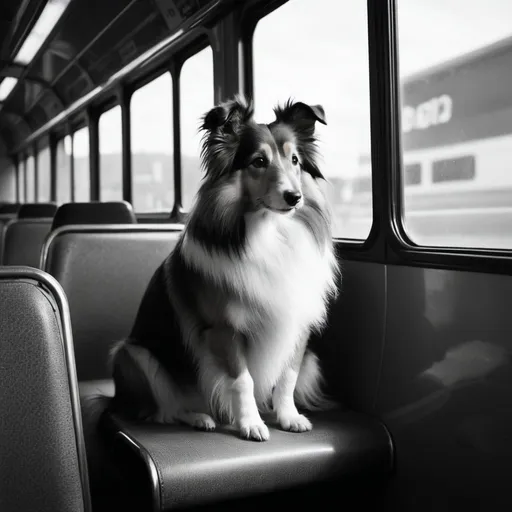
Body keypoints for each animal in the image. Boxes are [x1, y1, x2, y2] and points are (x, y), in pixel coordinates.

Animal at [109, 95, 340, 440]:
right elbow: (242, 381)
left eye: (295, 160)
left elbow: (287, 376)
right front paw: (251, 424)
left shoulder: (296, 326)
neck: (268, 234)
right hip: (132, 354)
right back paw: (199, 417)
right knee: (165, 411)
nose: (294, 197)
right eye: (258, 161)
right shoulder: (223, 330)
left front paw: (288, 417)